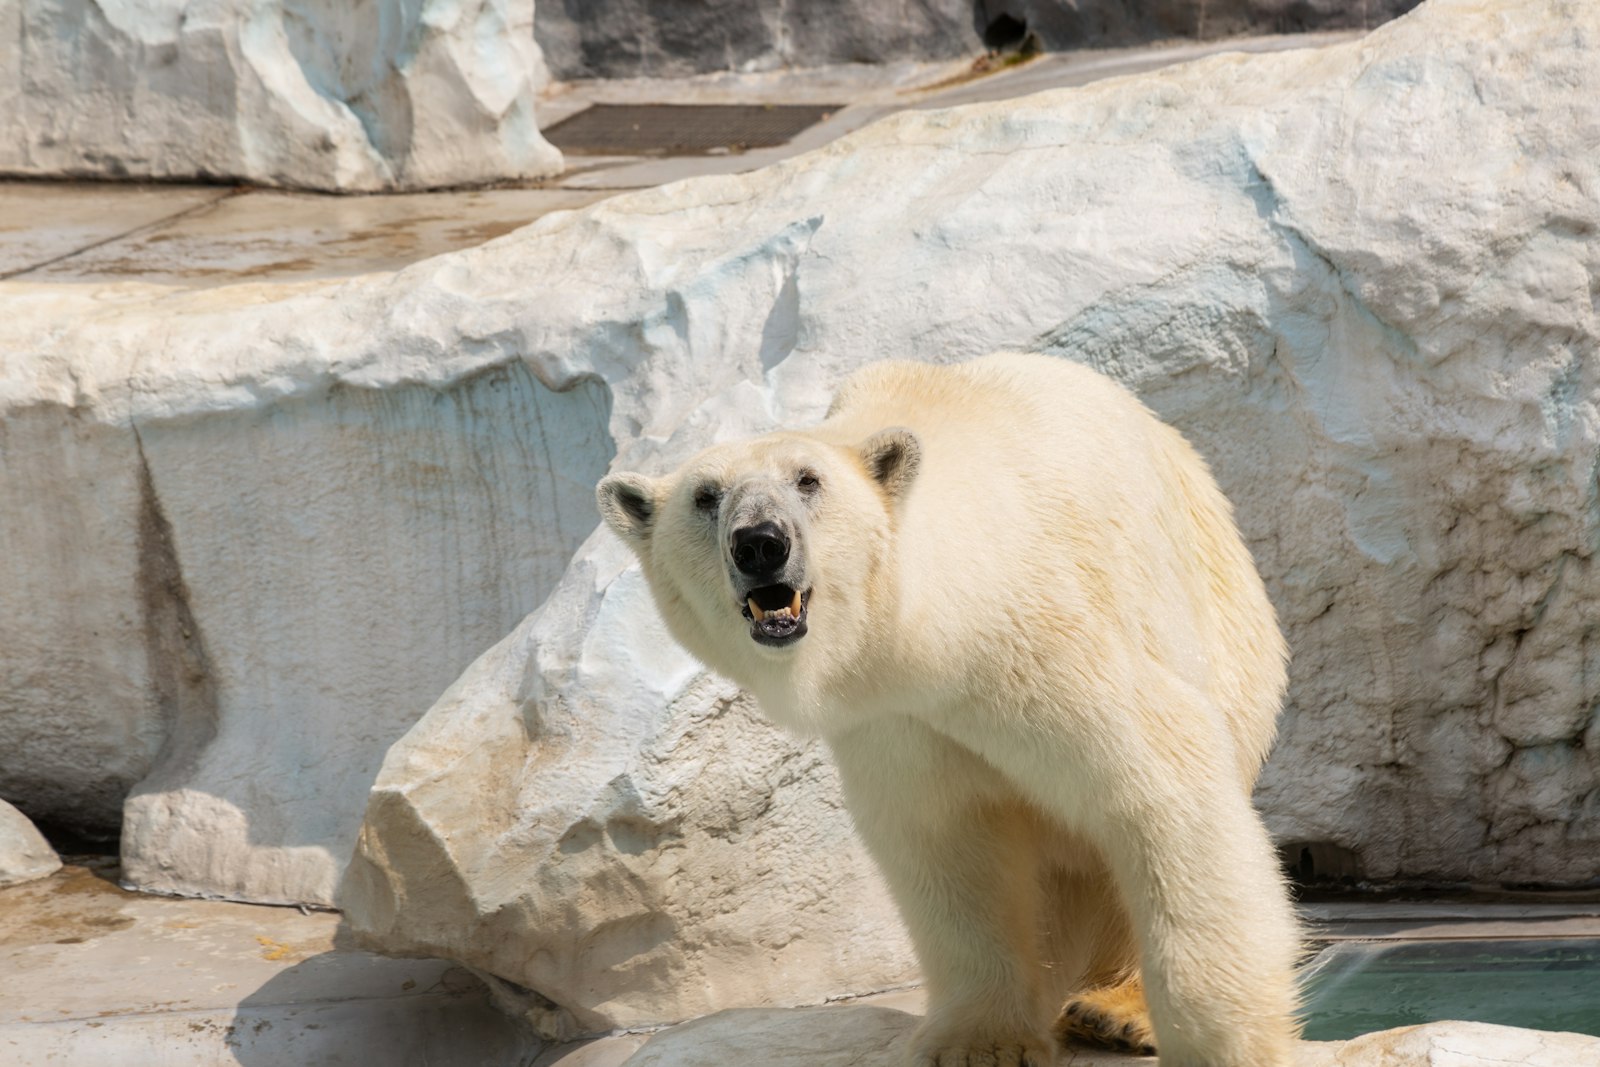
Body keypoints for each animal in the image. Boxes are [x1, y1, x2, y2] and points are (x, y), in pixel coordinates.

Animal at [598, 355, 1299, 1067]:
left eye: (808, 480)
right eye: (705, 496)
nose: (760, 543)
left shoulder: (1037, 641)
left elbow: (1161, 781)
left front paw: (1227, 1043)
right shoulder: (895, 720)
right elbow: (947, 835)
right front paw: (978, 1041)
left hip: (1225, 628)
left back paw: (1113, 1010)